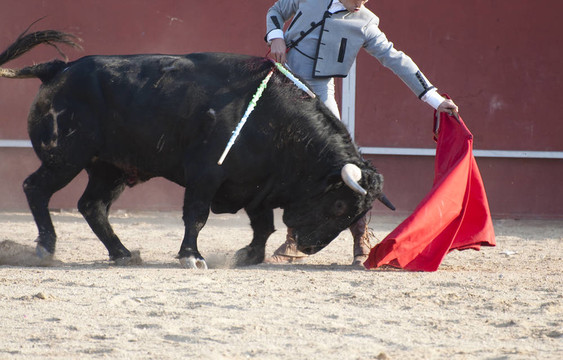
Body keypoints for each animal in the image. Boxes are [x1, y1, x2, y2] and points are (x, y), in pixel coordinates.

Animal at [0, 30, 392, 268]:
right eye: (339, 205)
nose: (309, 248)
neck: (275, 121)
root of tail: (58, 69)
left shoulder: (258, 185)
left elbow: (263, 226)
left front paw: (248, 255)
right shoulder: (205, 175)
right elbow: (197, 216)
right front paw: (191, 256)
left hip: (110, 168)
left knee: (91, 206)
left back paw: (123, 253)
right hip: (64, 159)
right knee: (36, 189)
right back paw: (46, 248)